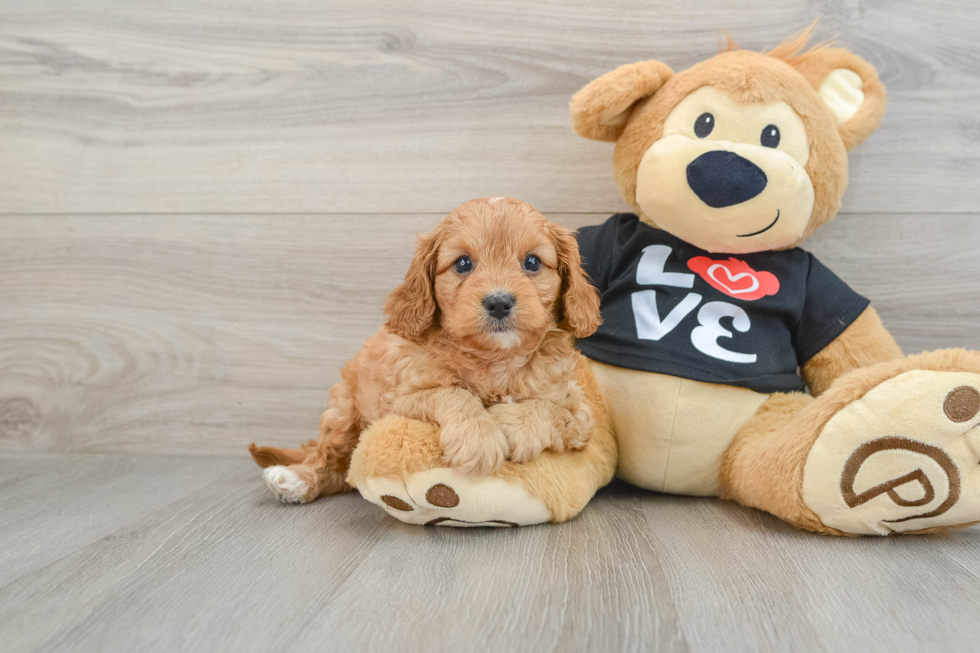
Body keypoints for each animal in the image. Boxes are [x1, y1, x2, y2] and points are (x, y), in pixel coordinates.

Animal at [249, 196, 600, 502]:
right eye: (463, 263)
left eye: (532, 262)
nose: (499, 302)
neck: (495, 359)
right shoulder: (395, 400)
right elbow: (451, 392)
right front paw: (478, 438)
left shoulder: (580, 412)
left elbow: (553, 410)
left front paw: (515, 425)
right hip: (344, 411)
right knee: (331, 461)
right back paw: (294, 479)